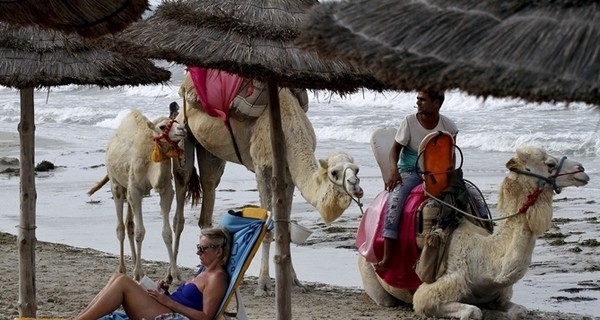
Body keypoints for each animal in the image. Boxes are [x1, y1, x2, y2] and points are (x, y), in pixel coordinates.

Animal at [87, 108, 185, 282]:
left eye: (176, 122)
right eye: (162, 126)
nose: (182, 130)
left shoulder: (166, 190)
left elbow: (166, 233)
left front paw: (174, 274)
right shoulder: (135, 190)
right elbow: (140, 232)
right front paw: (138, 273)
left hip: (127, 188)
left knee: (129, 224)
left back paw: (133, 263)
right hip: (116, 184)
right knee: (120, 226)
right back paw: (123, 269)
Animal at [171, 72, 364, 296]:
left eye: (356, 170)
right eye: (334, 172)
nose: (355, 186)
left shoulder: (288, 174)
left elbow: (285, 228)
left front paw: (294, 281)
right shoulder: (262, 165)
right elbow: (267, 228)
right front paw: (263, 284)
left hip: (210, 151)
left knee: (209, 190)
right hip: (181, 133)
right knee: (181, 196)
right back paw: (174, 275)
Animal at [358, 146, 588, 318]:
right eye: (549, 164)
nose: (582, 169)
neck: (485, 261)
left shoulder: (499, 293)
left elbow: (519, 311)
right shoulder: (431, 291)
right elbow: (471, 311)